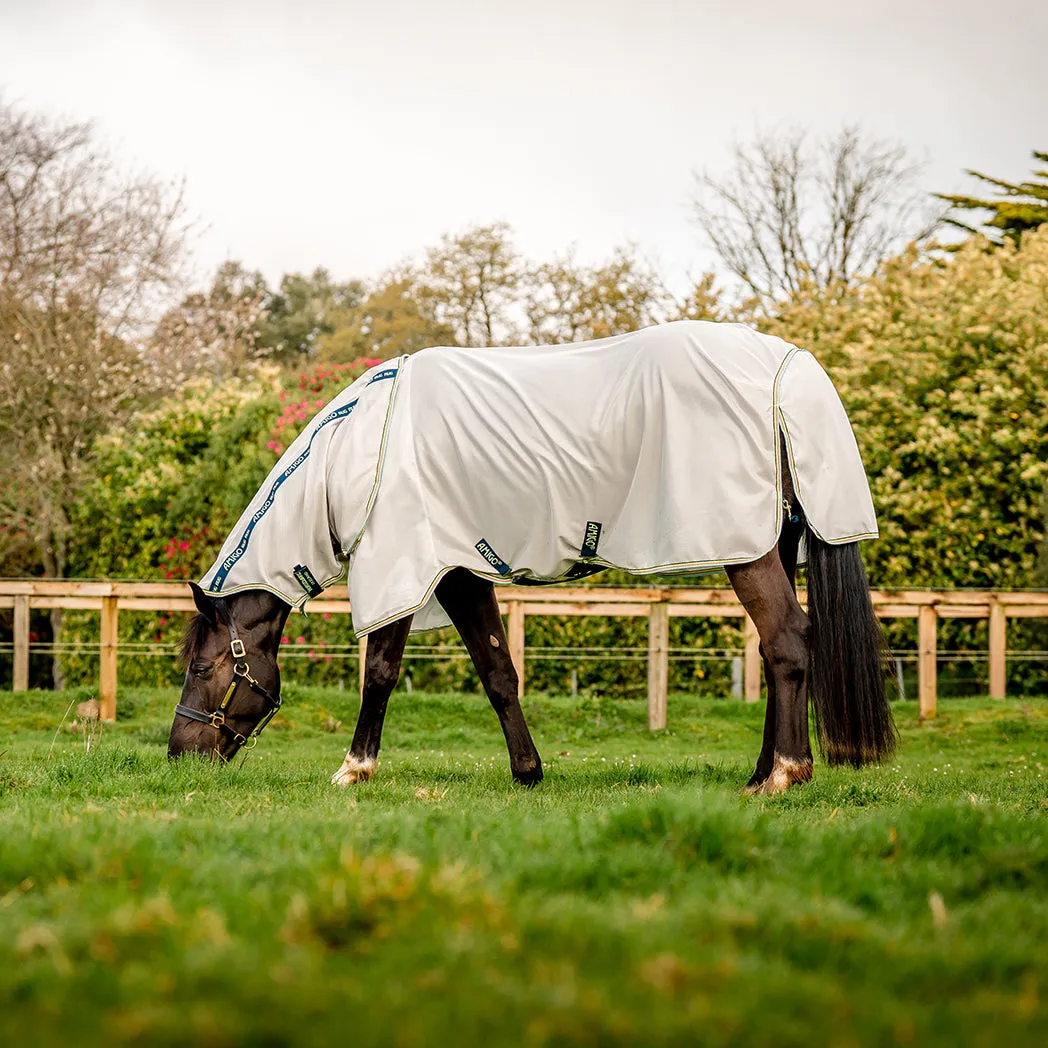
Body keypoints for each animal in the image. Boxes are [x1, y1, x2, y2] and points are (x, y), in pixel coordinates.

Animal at [167, 318, 897, 792]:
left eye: (203, 668)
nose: (179, 757)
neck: (361, 447)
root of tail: (786, 365)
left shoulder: (405, 566)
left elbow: (379, 671)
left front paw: (354, 769)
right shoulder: (459, 574)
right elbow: (498, 672)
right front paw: (529, 772)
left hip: (745, 548)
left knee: (788, 641)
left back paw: (783, 776)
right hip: (766, 541)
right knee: (779, 650)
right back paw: (760, 772)